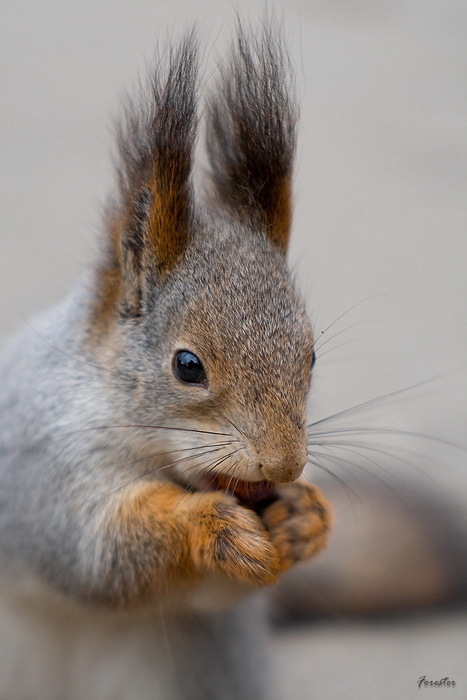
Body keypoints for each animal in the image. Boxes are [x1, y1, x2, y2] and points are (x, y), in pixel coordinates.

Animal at [0, 21, 332, 700]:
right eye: (187, 365)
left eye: (311, 354)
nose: (284, 464)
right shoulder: (43, 471)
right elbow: (97, 553)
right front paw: (207, 526)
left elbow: (205, 594)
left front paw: (306, 516)